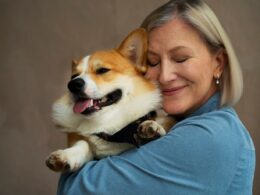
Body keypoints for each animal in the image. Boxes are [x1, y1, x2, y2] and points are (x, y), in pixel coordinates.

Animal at [46, 28, 176, 171]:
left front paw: (152, 127)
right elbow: (83, 143)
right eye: (73, 76)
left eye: (102, 70)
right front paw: (66, 155)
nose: (73, 85)